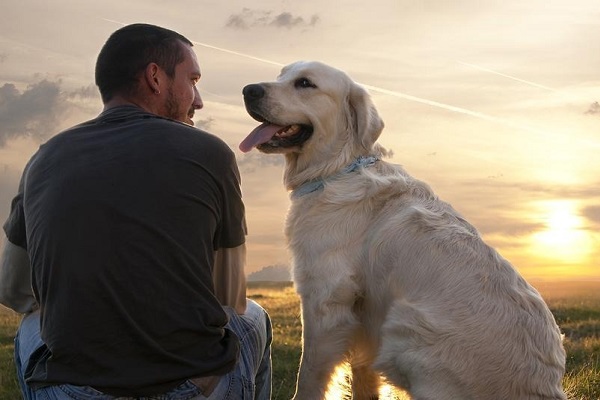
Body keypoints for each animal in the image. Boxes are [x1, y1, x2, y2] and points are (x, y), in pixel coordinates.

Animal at [239, 61, 568, 398]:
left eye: (305, 83)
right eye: (281, 75)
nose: (249, 90)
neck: (337, 169)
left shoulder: (325, 299)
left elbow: (309, 376)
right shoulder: (363, 318)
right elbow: (362, 376)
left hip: (403, 326)